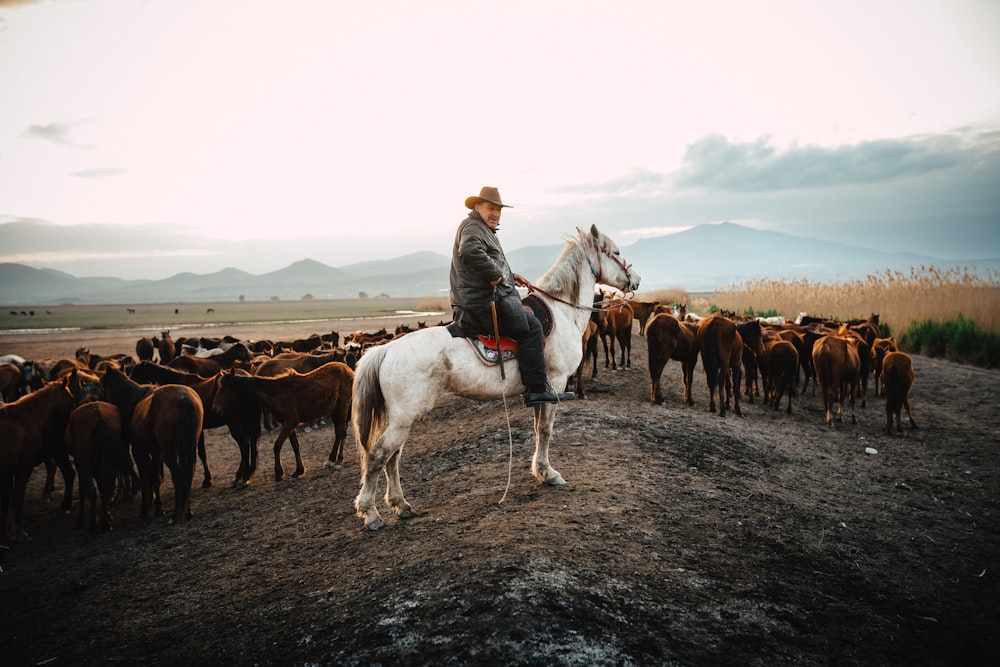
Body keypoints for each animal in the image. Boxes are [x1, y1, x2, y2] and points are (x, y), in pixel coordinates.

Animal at [0, 374, 78, 544]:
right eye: (71, 398)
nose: (75, 410)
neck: (25, 419)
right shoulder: (20, 469)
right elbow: (15, 500)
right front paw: (18, 533)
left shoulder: (10, 472)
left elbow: (9, 502)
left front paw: (9, 534)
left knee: (69, 474)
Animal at [101, 368, 203, 524]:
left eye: (101, 386)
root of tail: (185, 399)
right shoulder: (156, 452)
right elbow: (156, 477)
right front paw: (158, 508)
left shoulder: (139, 450)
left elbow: (145, 478)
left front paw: (145, 510)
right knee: (187, 475)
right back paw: (187, 511)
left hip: (169, 452)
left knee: (178, 476)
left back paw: (176, 515)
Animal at [211, 362, 356, 482]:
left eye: (223, 389)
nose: (215, 409)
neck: (276, 392)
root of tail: (348, 370)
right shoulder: (288, 423)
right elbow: (295, 446)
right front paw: (298, 471)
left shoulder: (291, 421)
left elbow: (277, 445)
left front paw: (279, 473)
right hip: (335, 411)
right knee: (339, 433)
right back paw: (331, 459)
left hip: (342, 407)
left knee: (341, 432)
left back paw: (338, 460)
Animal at [352, 227, 640, 528]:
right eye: (616, 252)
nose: (637, 280)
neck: (564, 312)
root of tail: (386, 349)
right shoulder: (557, 382)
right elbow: (546, 430)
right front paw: (549, 474)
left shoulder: (539, 390)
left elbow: (537, 429)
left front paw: (540, 471)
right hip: (403, 419)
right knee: (379, 455)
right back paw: (370, 513)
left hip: (401, 419)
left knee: (393, 458)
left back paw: (400, 504)